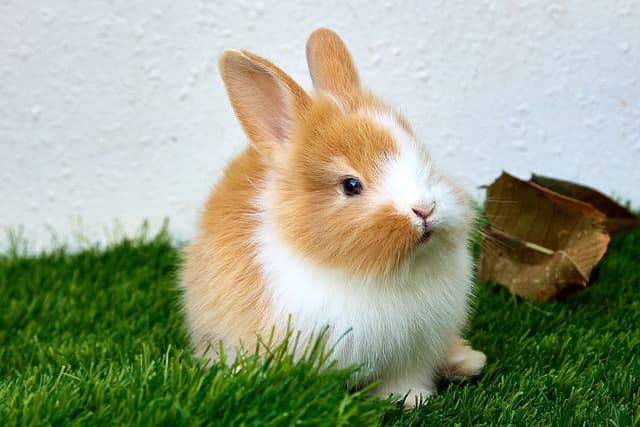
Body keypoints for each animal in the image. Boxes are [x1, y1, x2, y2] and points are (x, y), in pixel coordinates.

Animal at [180, 28, 486, 407]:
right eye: (351, 185)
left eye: (423, 157)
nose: (425, 209)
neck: (381, 275)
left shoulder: (412, 352)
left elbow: (406, 377)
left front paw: (410, 399)